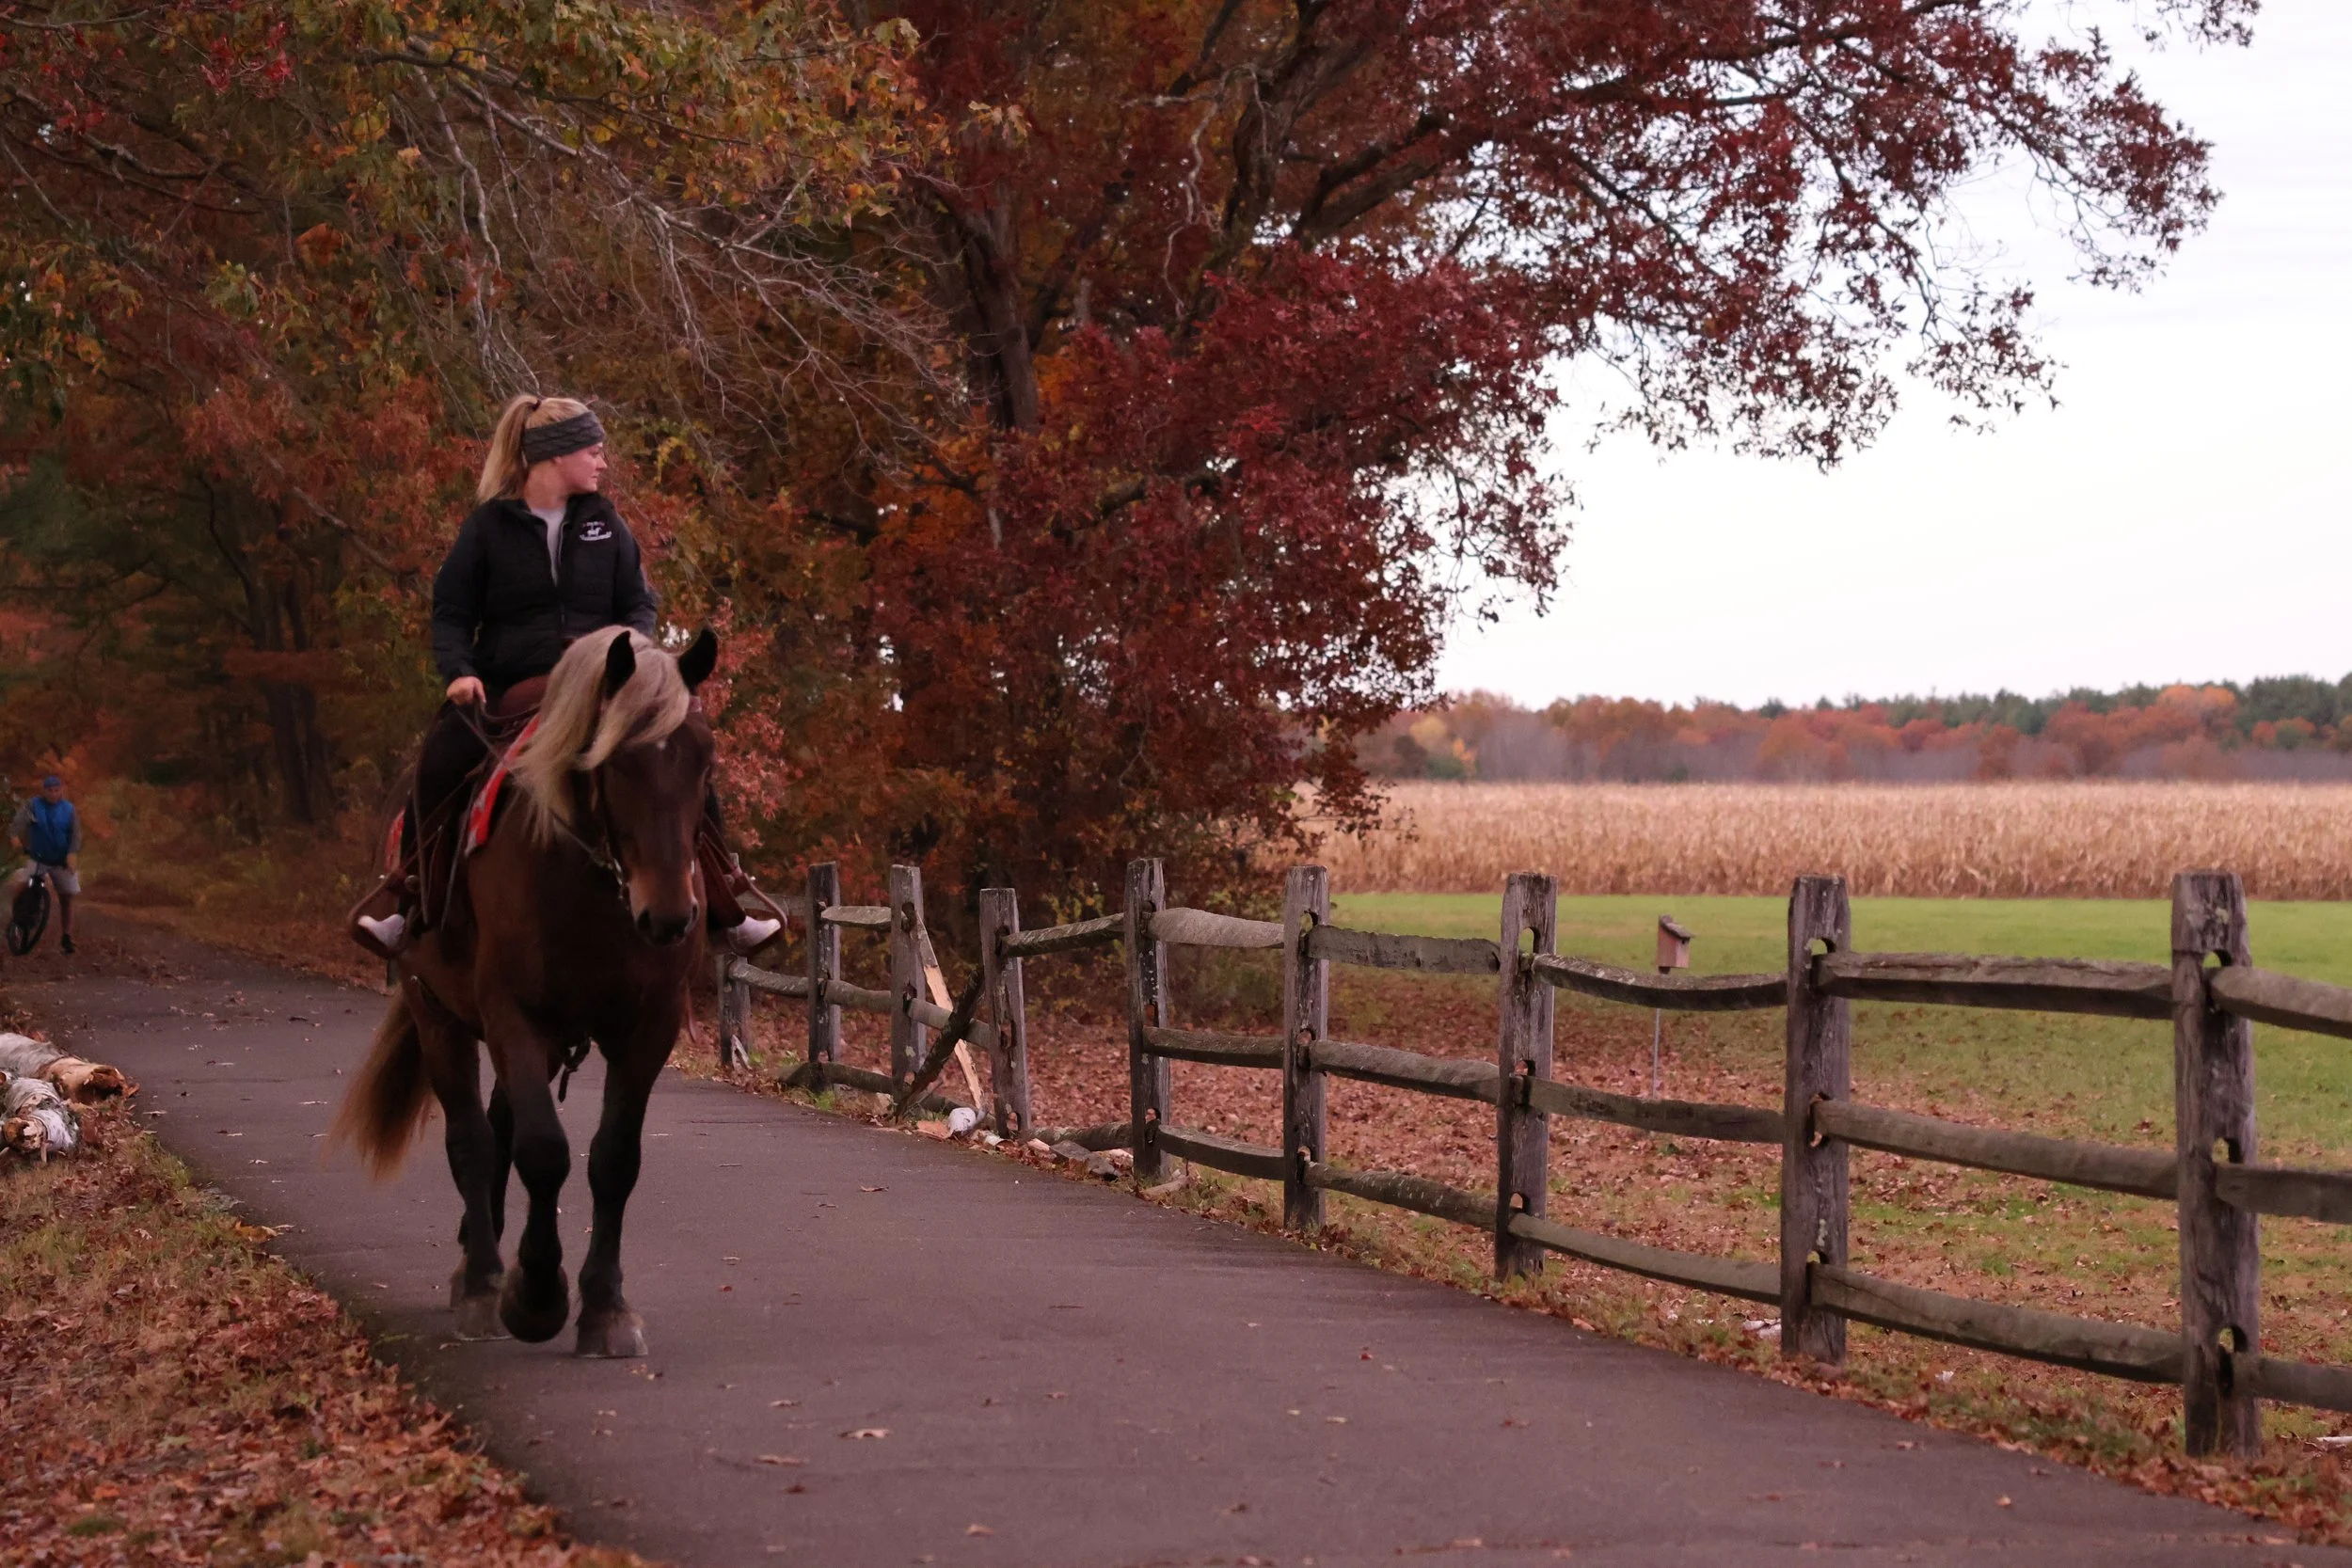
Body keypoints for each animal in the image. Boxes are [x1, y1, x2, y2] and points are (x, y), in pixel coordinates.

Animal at [333, 624, 719, 1357]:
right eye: (616, 762)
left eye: (703, 761)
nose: (669, 917)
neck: (591, 885)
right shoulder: (514, 1014)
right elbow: (542, 1152)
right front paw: (535, 1295)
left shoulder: (647, 1029)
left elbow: (613, 1160)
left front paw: (605, 1307)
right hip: (438, 1014)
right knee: (473, 1140)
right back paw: (481, 1278)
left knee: (501, 1125)